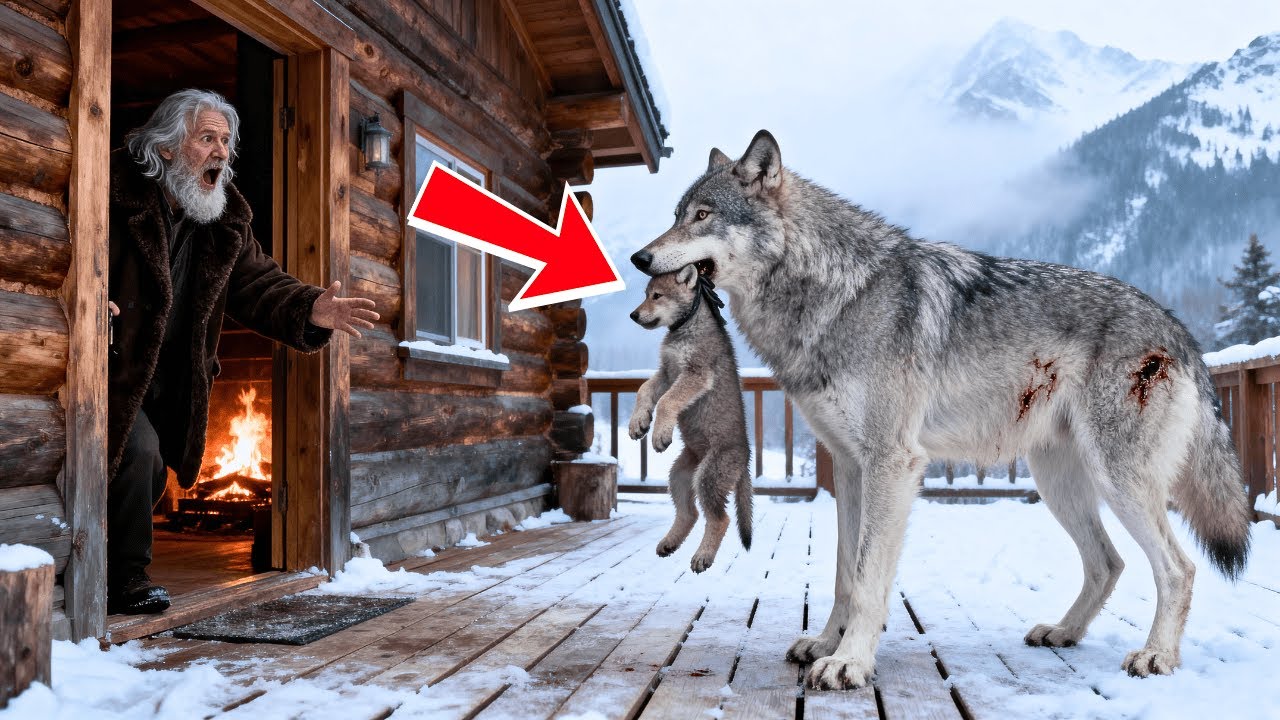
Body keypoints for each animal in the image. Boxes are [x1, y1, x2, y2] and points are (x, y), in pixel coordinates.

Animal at [627, 263, 753, 572]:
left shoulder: (695, 374)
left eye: (657, 296)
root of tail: (745, 459)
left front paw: (659, 433)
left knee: (720, 519)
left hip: (708, 477)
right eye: (646, 295)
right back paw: (669, 544)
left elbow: (666, 401)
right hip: (680, 477)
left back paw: (703, 556)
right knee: (690, 514)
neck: (684, 329)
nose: (633, 315)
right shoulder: (667, 372)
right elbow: (643, 389)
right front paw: (638, 424)